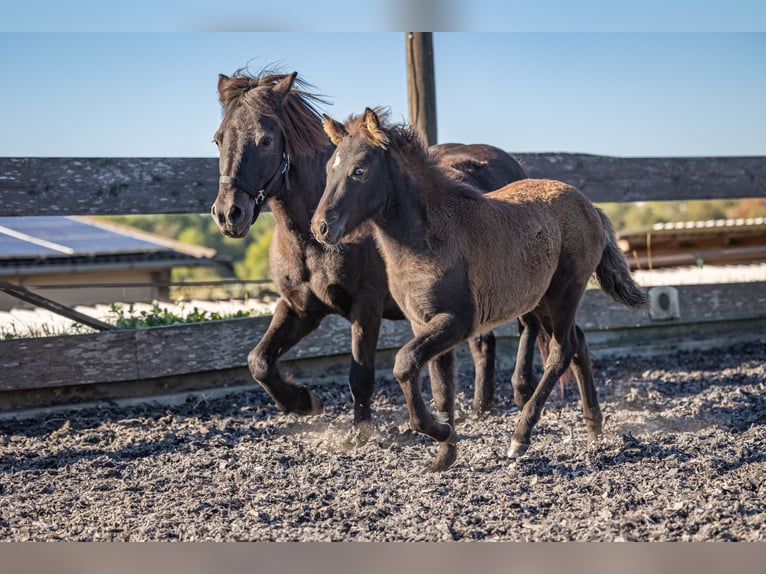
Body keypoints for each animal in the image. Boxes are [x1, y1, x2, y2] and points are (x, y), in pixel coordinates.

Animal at [209, 69, 528, 438]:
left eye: (265, 140)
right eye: (218, 139)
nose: (229, 214)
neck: (311, 244)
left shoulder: (367, 306)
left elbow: (360, 374)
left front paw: (361, 432)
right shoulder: (300, 308)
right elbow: (259, 361)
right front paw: (303, 401)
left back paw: (520, 392)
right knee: (482, 343)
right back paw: (479, 407)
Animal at [311, 108, 648, 471]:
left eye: (359, 170)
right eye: (329, 169)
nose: (321, 227)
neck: (430, 237)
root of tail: (589, 206)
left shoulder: (457, 322)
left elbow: (404, 363)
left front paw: (442, 433)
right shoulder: (423, 323)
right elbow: (441, 388)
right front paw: (445, 453)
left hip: (564, 293)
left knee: (562, 351)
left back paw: (520, 437)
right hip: (541, 299)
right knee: (578, 344)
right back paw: (594, 428)